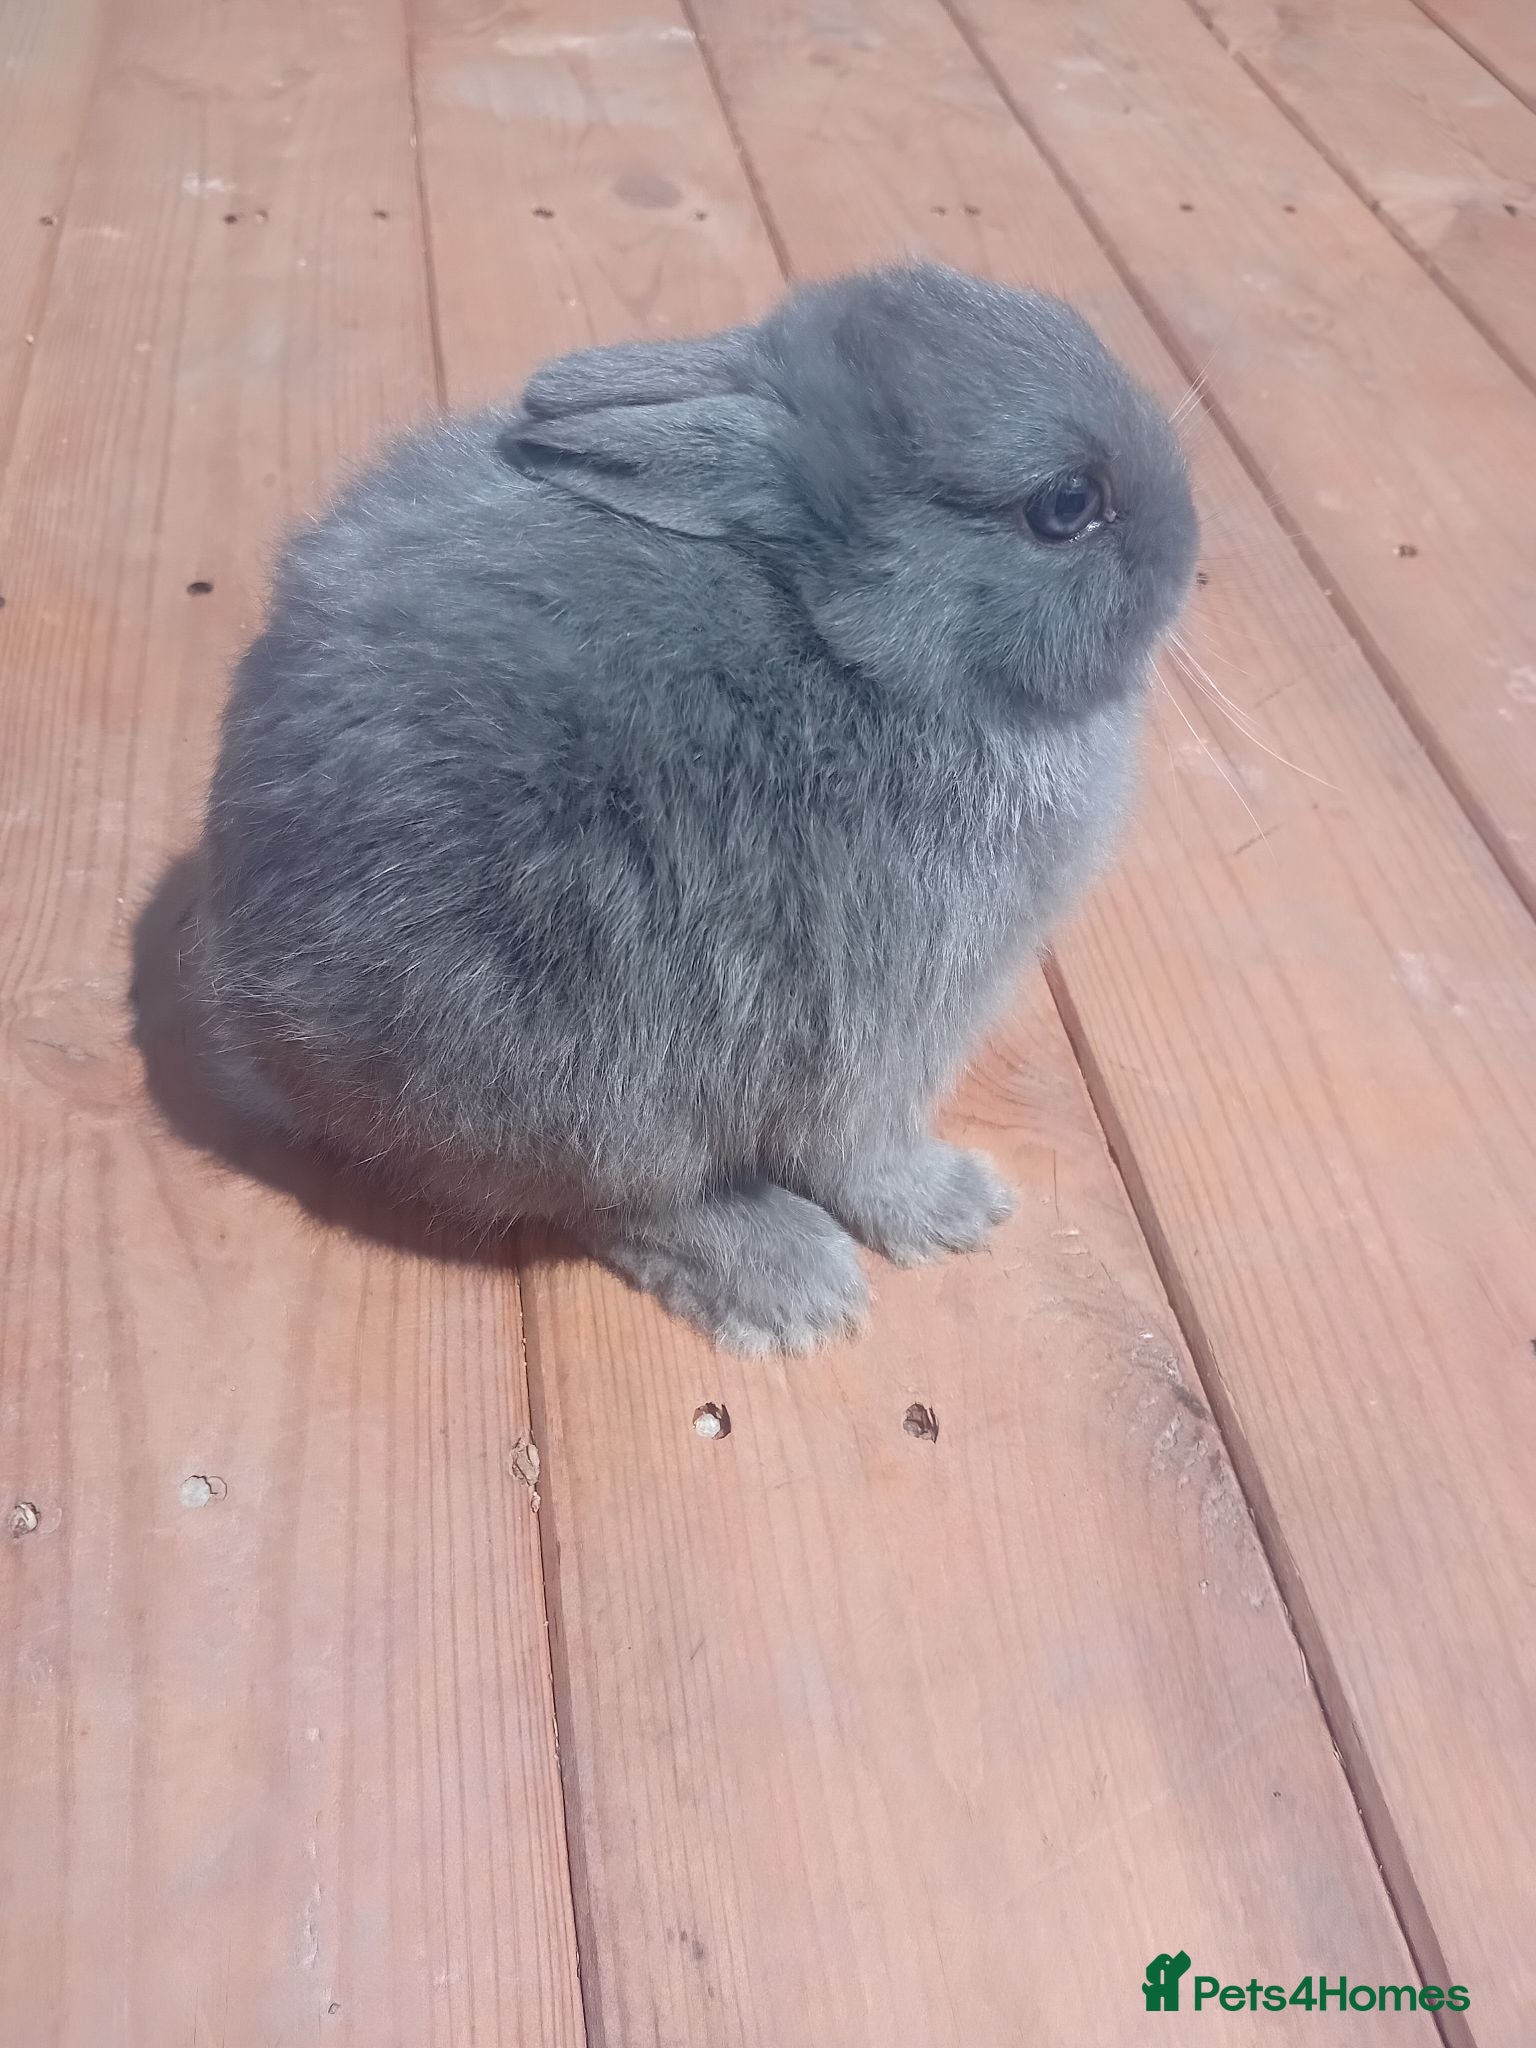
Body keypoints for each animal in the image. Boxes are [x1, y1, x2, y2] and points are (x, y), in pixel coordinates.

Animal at [198, 261, 1197, 1354]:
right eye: (1066, 505)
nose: (1191, 548)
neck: (854, 642)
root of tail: (270, 1026)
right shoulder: (884, 1026)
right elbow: (862, 1152)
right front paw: (951, 1209)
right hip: (591, 1079)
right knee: (627, 1198)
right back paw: (793, 1284)